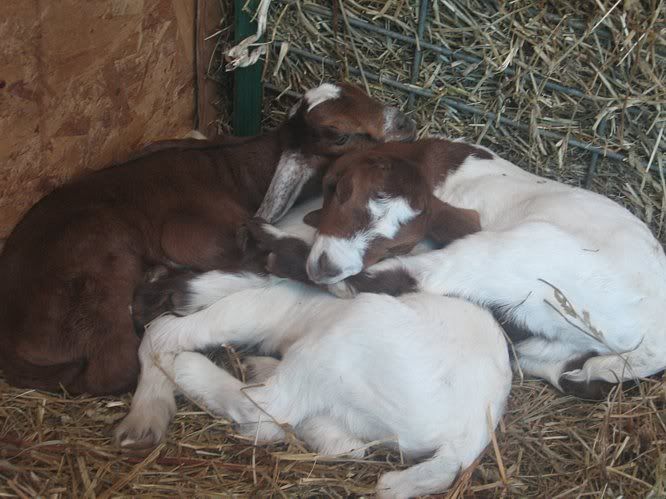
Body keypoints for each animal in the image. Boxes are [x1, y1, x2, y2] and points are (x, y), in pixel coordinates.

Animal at [0, 83, 415, 395]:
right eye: (341, 135)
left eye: (359, 90)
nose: (405, 121)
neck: (245, 169)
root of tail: (9, 336)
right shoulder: (190, 233)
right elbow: (258, 257)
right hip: (102, 268)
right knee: (115, 369)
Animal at [115, 197, 511, 499]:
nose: (134, 305)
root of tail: (469, 435)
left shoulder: (257, 307)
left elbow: (163, 334)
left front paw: (143, 417)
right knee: (339, 441)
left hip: (342, 339)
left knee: (265, 413)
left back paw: (191, 368)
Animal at [268, 137, 666, 399]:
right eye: (341, 193)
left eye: (398, 244)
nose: (328, 266)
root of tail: (652, 339)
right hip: (554, 342)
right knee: (562, 370)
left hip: (520, 253)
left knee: (419, 277)